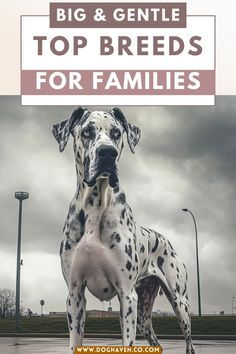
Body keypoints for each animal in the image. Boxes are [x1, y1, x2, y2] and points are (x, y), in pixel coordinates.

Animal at [52, 107, 195, 354]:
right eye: (87, 131)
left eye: (116, 133)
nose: (107, 153)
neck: (95, 205)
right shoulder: (75, 295)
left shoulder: (127, 296)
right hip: (143, 314)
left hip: (179, 302)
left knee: (189, 343)